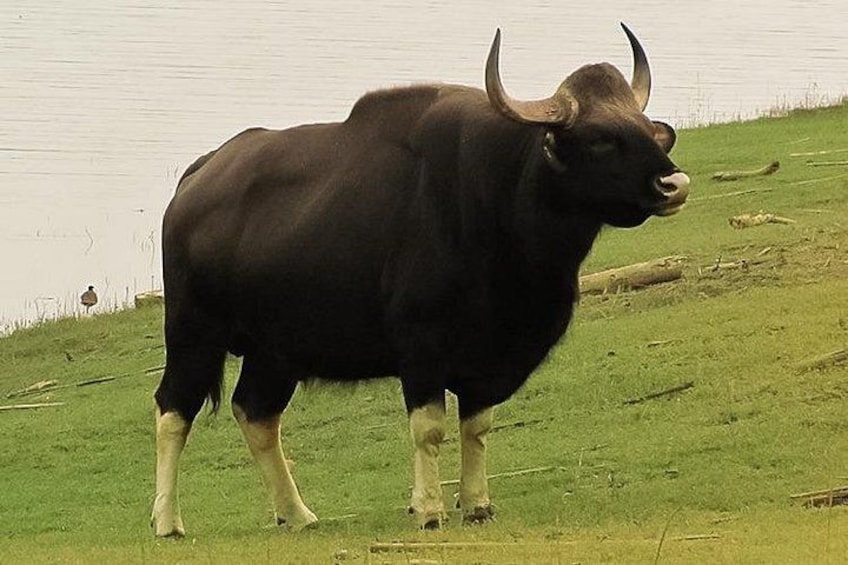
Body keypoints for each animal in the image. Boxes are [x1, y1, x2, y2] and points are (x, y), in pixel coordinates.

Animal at [152, 23, 690, 536]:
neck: (498, 202)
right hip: (193, 330)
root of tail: (194, 182)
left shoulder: (485, 359)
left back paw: (296, 514)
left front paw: (477, 505)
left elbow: (478, 427)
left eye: (647, 129)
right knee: (173, 410)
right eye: (601, 138)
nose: (674, 184)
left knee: (256, 413)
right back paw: (167, 521)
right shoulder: (421, 348)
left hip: (276, 351)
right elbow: (429, 428)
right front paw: (429, 509)